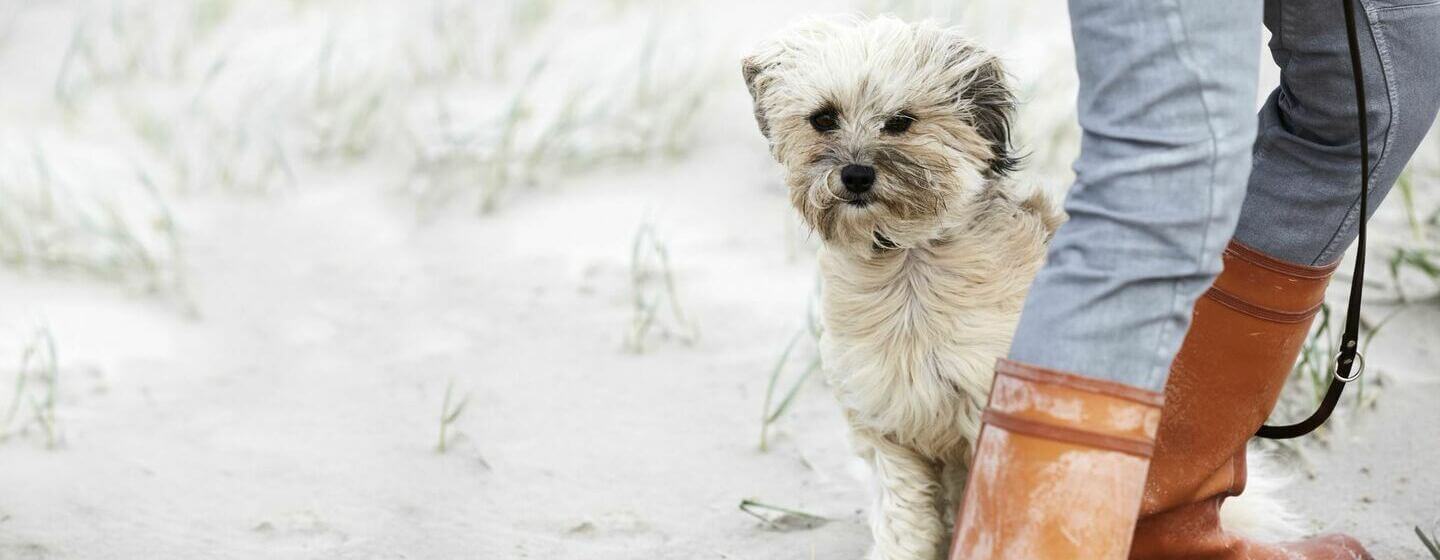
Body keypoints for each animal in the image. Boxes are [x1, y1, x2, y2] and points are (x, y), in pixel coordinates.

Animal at [743, 15, 1059, 555]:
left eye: (901, 120)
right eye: (823, 118)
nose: (855, 175)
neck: (907, 266)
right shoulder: (885, 424)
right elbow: (903, 518)